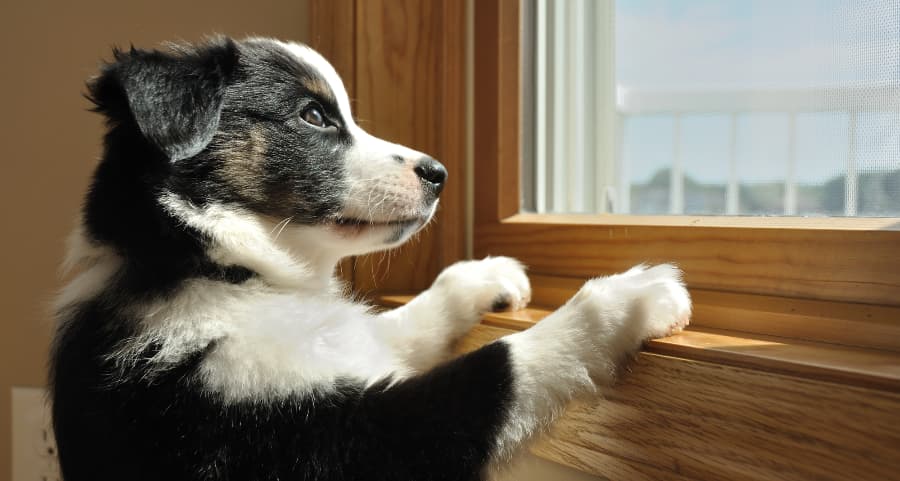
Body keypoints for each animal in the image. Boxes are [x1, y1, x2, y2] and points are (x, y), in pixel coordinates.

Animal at [52, 37, 692, 480]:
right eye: (314, 115)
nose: (439, 174)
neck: (231, 271)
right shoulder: (326, 439)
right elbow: (502, 364)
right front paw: (628, 299)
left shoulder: (355, 349)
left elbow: (409, 321)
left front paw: (487, 274)